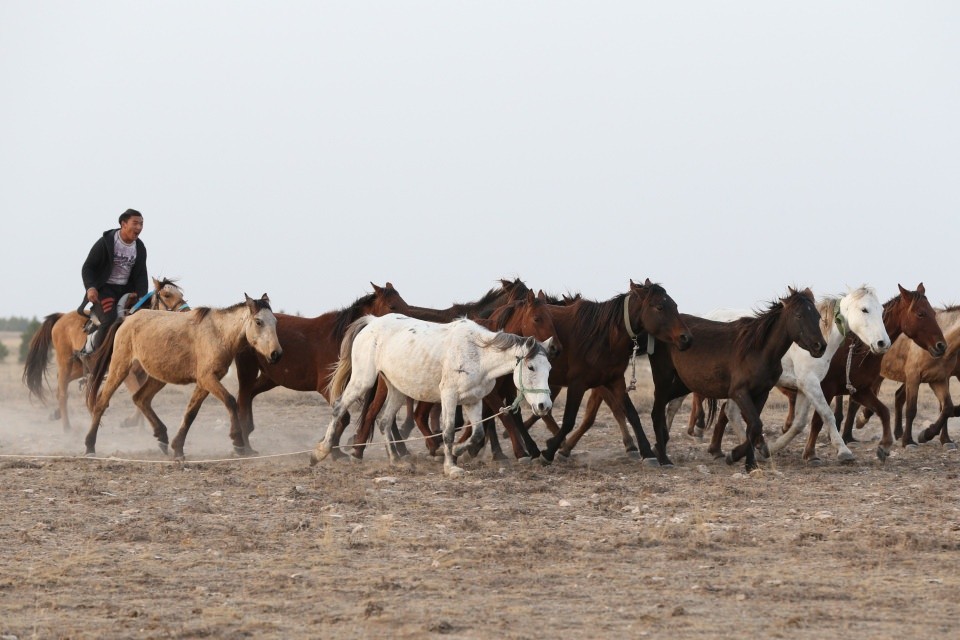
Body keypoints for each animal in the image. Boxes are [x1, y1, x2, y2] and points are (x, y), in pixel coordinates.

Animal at [84, 296, 282, 460]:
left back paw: (162, 437)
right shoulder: (208, 379)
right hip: (120, 368)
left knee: (140, 398)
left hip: (158, 377)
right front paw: (238, 443)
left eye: (275, 321)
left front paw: (178, 448)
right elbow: (230, 401)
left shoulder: (204, 382)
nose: (276, 354)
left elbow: (190, 413)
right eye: (258, 322)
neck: (219, 333)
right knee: (102, 402)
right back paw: (89, 446)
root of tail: (126, 320)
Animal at [314, 314, 556, 476]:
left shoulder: (473, 400)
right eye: (531, 367)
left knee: (384, 421)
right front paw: (451, 467)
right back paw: (320, 452)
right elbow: (448, 431)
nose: (544, 406)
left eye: (549, 369)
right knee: (339, 408)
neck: (478, 354)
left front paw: (455, 451)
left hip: (397, 389)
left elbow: (477, 433)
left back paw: (396, 460)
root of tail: (372, 322)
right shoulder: (449, 395)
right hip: (363, 380)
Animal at [644, 288, 824, 472]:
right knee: (658, 407)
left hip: (684, 383)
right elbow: (755, 424)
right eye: (799, 315)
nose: (820, 346)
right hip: (664, 377)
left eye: (818, 316)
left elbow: (753, 428)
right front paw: (737, 455)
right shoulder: (739, 392)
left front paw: (748, 462)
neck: (758, 351)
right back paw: (662, 455)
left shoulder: (761, 393)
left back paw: (658, 446)